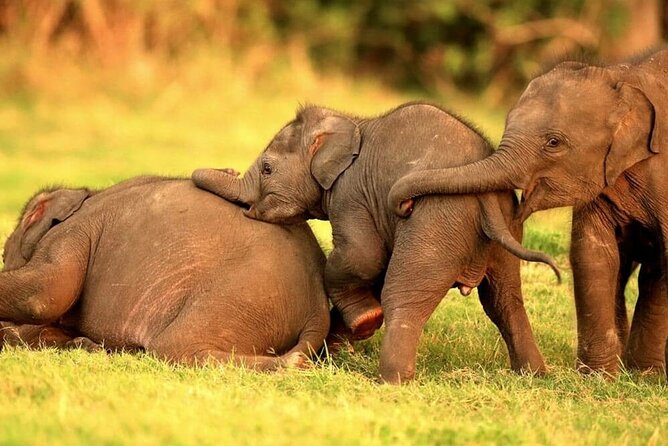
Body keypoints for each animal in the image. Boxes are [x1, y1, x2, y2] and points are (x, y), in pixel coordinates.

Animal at [0, 176, 330, 370]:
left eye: (3, 254)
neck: (85, 194)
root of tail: (318, 305)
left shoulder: (73, 232)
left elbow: (44, 294)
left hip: (246, 293)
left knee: (173, 347)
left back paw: (293, 365)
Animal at [192, 102, 560, 383]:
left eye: (267, 168)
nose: (228, 168)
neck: (351, 123)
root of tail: (485, 193)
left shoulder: (351, 194)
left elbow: (362, 256)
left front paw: (366, 321)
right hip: (506, 227)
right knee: (505, 300)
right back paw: (534, 376)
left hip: (437, 220)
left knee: (403, 295)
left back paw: (391, 380)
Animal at [389, 49, 668, 376]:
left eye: (553, 142)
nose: (406, 206)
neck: (624, 77)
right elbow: (593, 254)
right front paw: (597, 377)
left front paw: (643, 375)